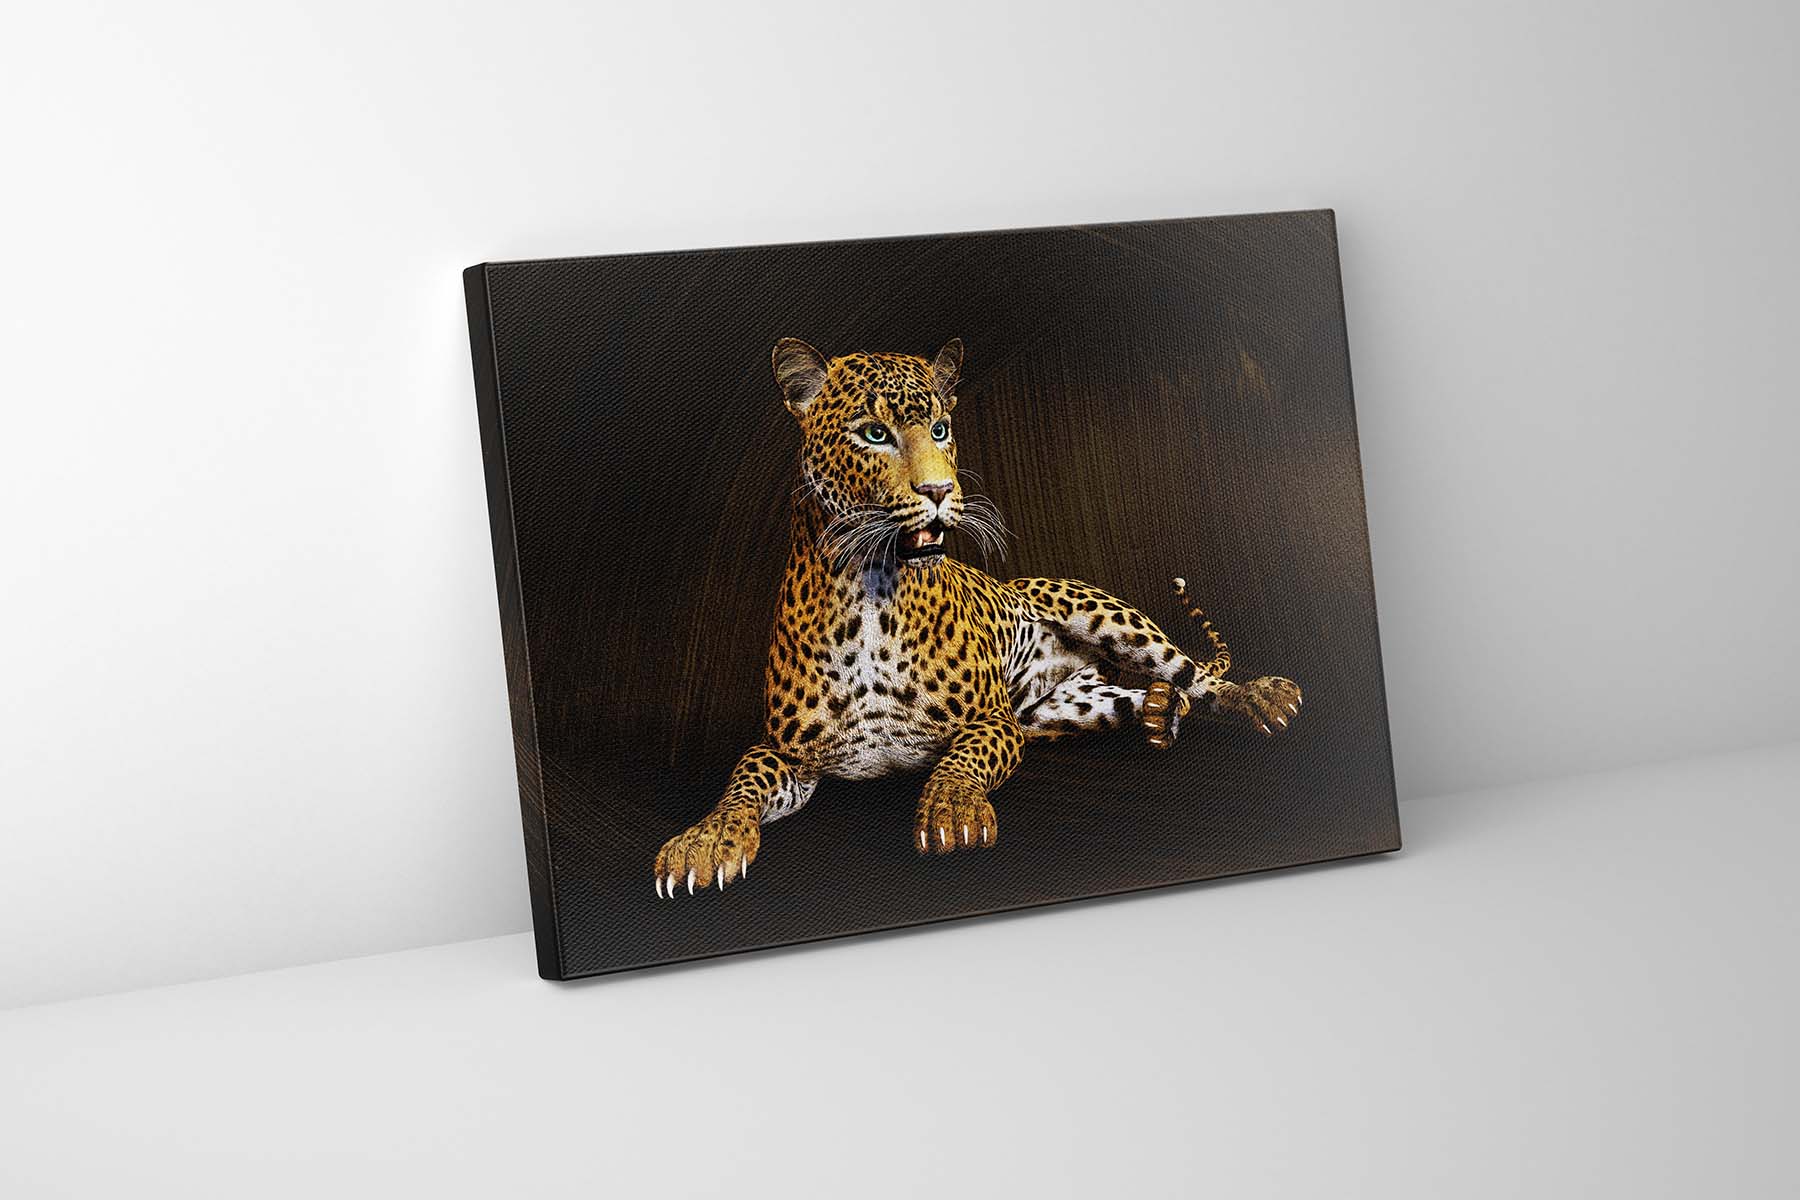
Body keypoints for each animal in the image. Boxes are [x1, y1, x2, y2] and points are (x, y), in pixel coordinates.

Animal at [653, 337, 1303, 897]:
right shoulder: (787, 752)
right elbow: (742, 781)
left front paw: (953, 811)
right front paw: (703, 841)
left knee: (1194, 673)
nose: (940, 490)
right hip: (1062, 711)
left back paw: (1260, 696)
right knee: (1145, 696)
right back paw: (1160, 711)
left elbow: (961, 760)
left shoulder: (993, 721)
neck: (870, 591)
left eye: (940, 429)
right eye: (874, 434)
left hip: (1105, 615)